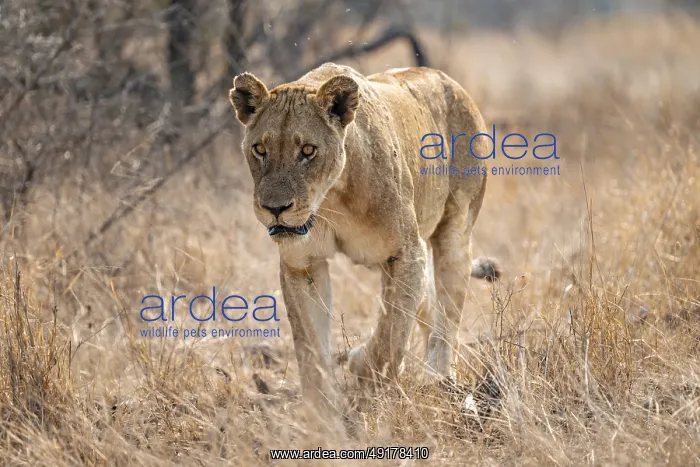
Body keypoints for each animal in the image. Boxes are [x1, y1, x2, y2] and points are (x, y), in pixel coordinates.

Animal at [229, 63, 500, 416]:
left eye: (307, 151)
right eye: (260, 149)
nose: (275, 209)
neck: (331, 197)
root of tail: (448, 80)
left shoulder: (406, 252)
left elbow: (390, 337)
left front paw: (363, 369)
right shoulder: (302, 264)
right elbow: (310, 344)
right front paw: (320, 413)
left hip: (454, 234)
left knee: (446, 318)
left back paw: (439, 379)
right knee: (426, 306)